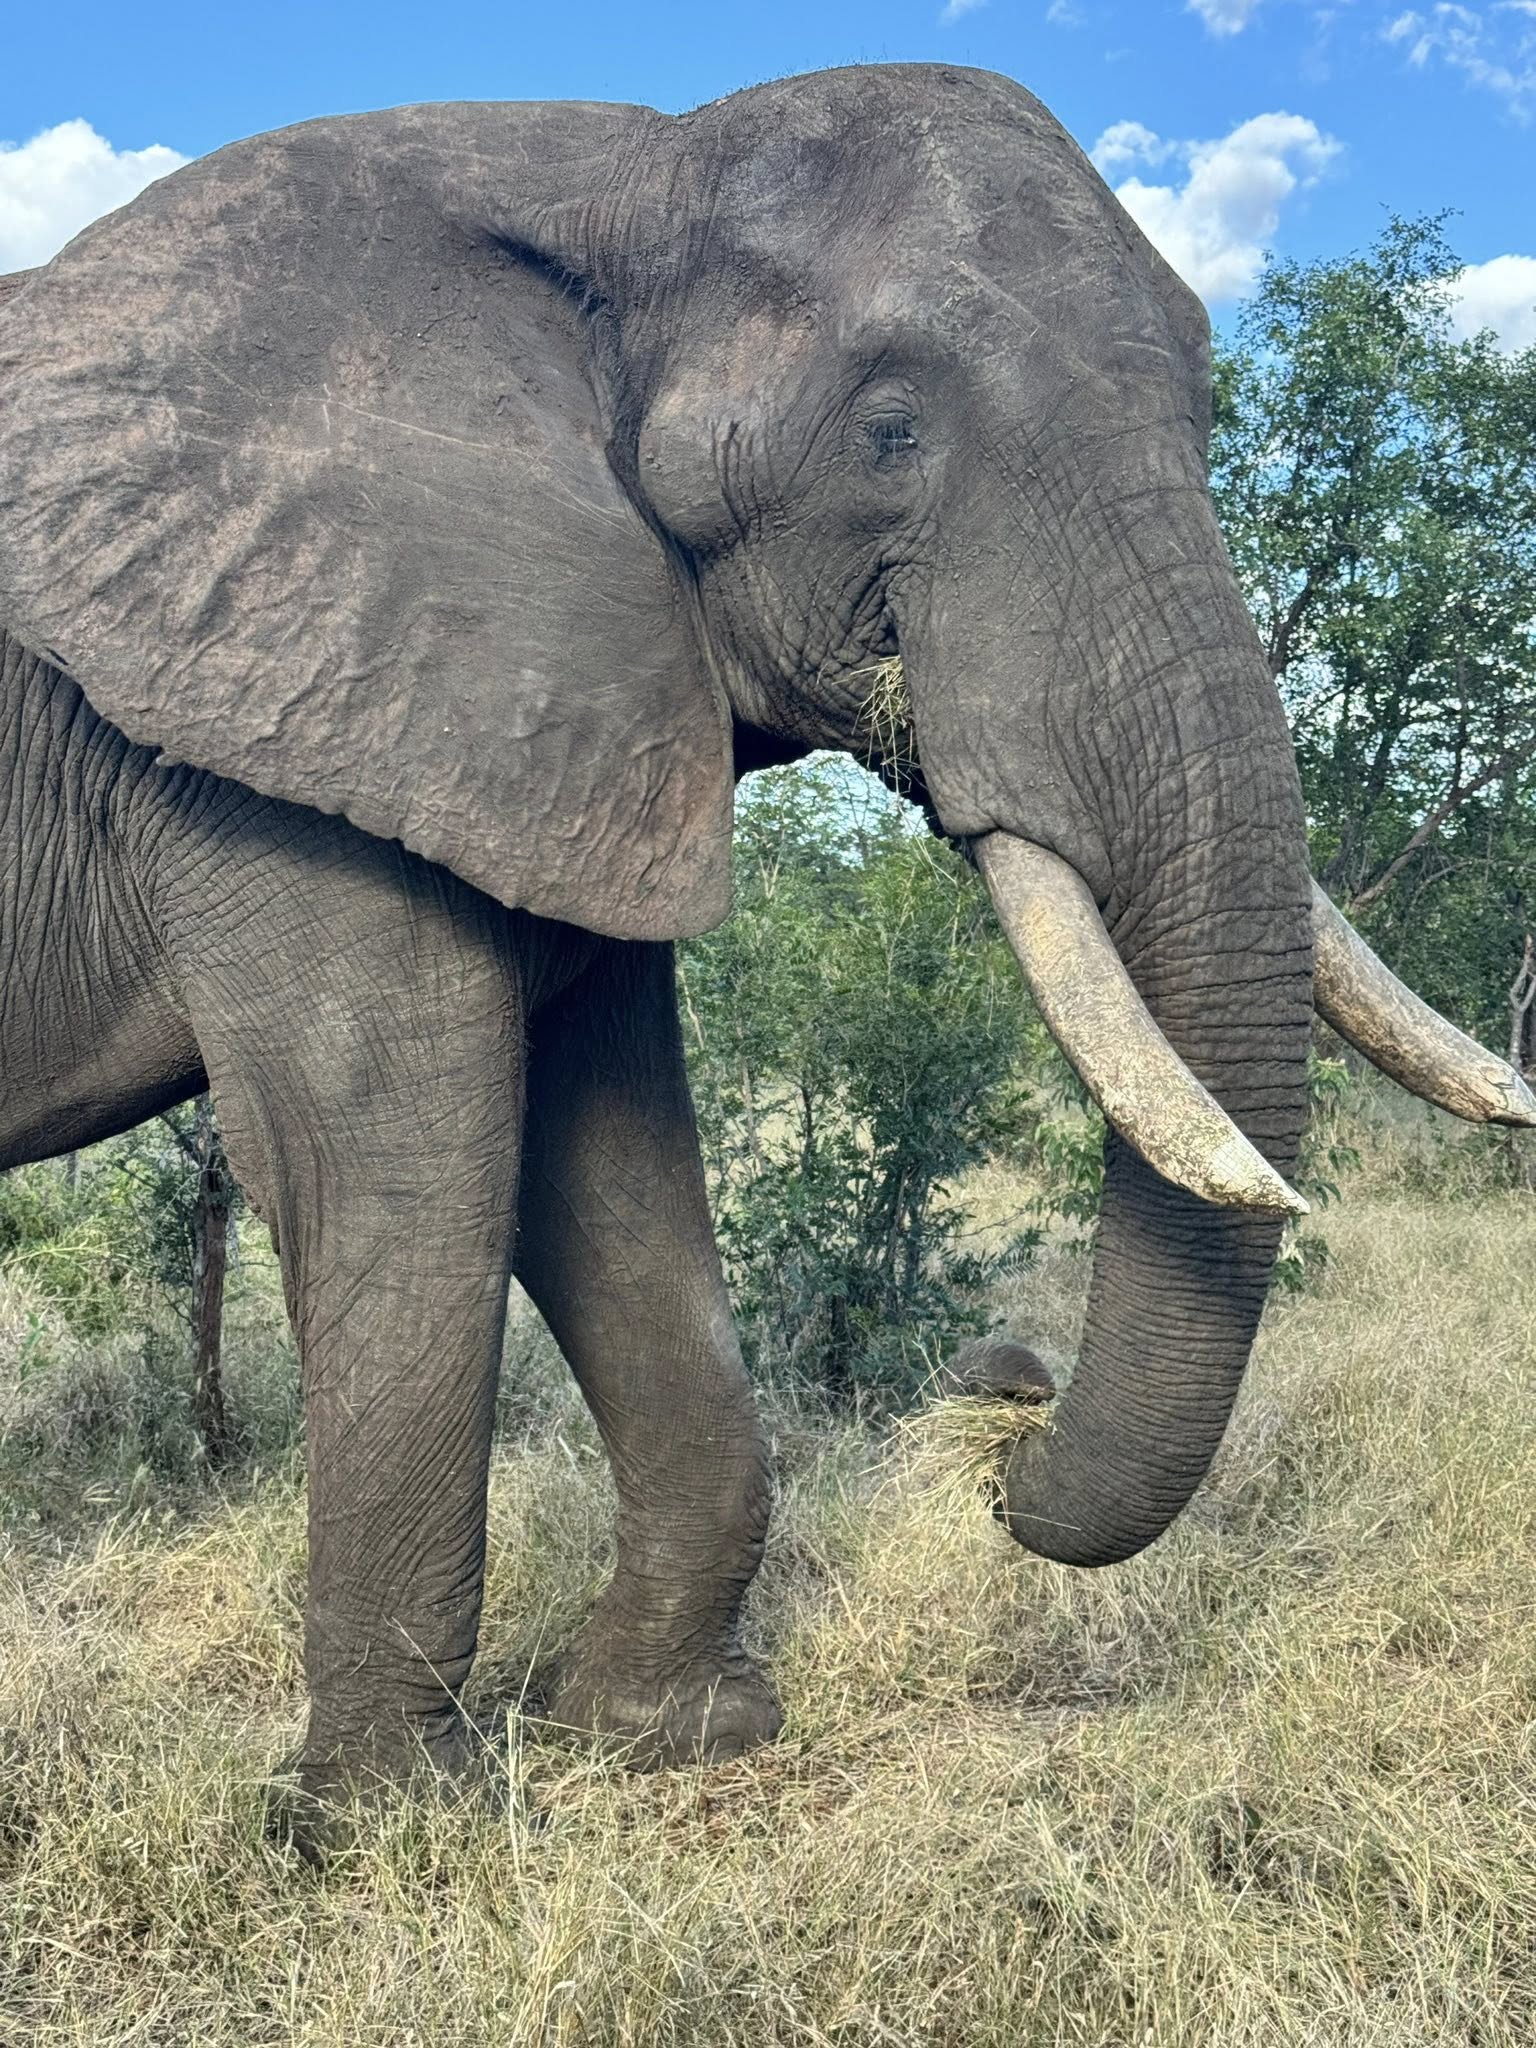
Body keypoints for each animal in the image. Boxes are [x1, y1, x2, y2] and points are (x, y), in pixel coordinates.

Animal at [1, 62, 1531, 1846]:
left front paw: (660, 1737)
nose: (1003, 1380)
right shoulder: (280, 720)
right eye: (890, 430)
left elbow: (608, 1170)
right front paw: (392, 1834)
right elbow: (406, 1169)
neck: (627, 172)